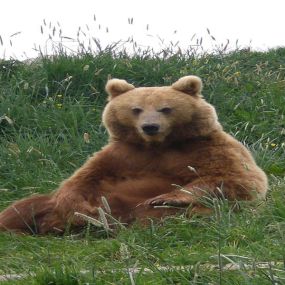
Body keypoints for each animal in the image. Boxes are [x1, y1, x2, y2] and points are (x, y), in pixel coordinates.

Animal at [0, 75, 266, 233]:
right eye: (136, 109)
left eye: (165, 108)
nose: (150, 126)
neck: (158, 145)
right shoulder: (123, 154)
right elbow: (83, 180)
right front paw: (85, 211)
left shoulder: (205, 148)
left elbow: (236, 178)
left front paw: (165, 197)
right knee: (25, 207)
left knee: (204, 211)